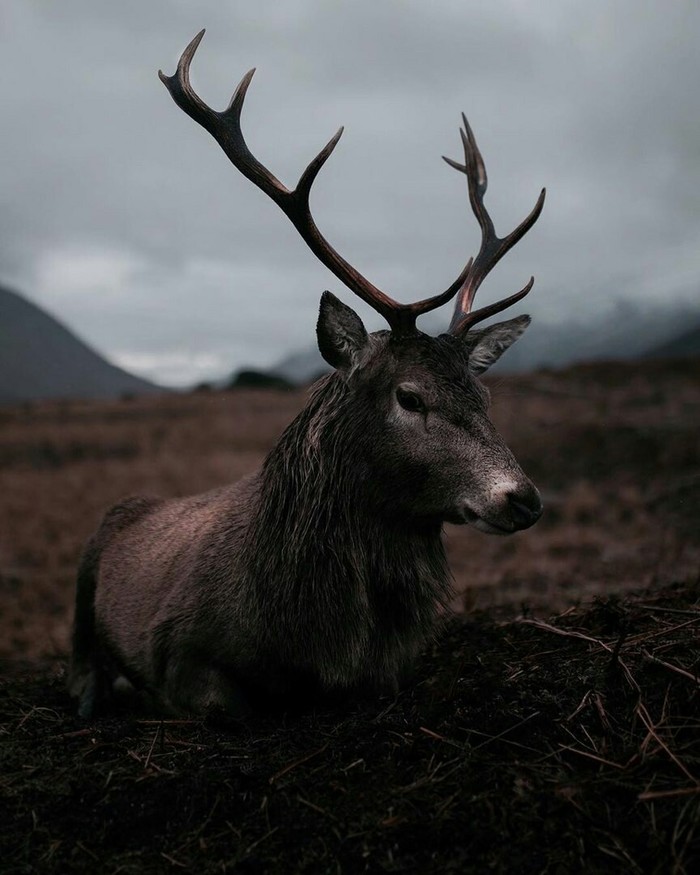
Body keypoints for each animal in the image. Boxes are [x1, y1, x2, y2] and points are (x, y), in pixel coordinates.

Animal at [65, 32, 548, 720]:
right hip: (83, 572)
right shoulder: (182, 653)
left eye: (483, 394)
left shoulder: (394, 669)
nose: (523, 498)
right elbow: (227, 702)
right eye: (409, 396)